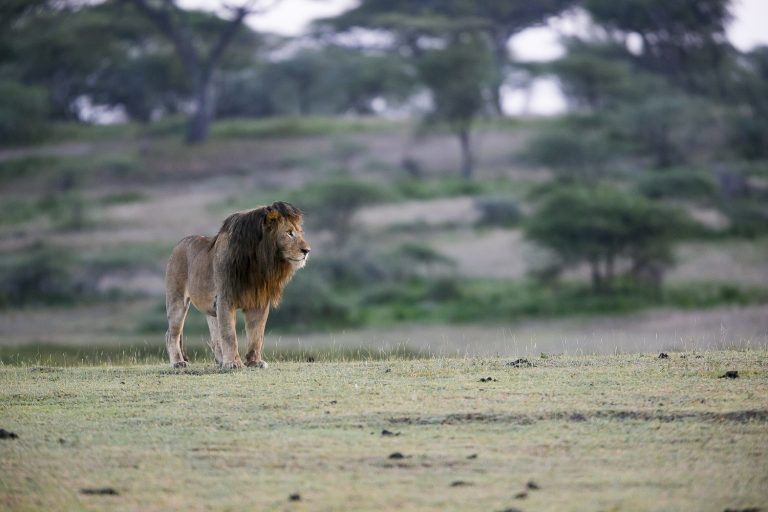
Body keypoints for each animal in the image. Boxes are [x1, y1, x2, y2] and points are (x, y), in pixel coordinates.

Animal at [164, 200, 308, 368]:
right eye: (289, 233)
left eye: (300, 232)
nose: (307, 250)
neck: (258, 261)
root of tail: (179, 244)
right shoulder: (225, 299)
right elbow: (229, 334)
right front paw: (233, 363)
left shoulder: (258, 301)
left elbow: (256, 334)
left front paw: (254, 361)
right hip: (177, 301)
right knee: (171, 334)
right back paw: (178, 362)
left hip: (210, 309)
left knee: (215, 338)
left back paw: (220, 361)